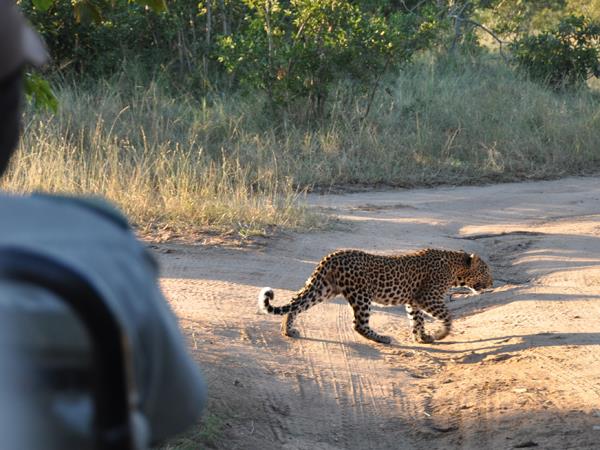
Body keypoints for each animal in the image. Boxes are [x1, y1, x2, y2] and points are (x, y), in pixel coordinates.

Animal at [258, 250, 492, 344]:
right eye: (486, 271)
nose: (492, 283)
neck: (455, 268)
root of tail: (332, 256)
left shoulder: (413, 301)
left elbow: (416, 320)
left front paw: (422, 337)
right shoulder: (428, 297)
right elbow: (447, 316)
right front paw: (441, 334)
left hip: (323, 289)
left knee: (296, 303)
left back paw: (288, 330)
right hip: (361, 295)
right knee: (359, 325)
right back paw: (382, 338)